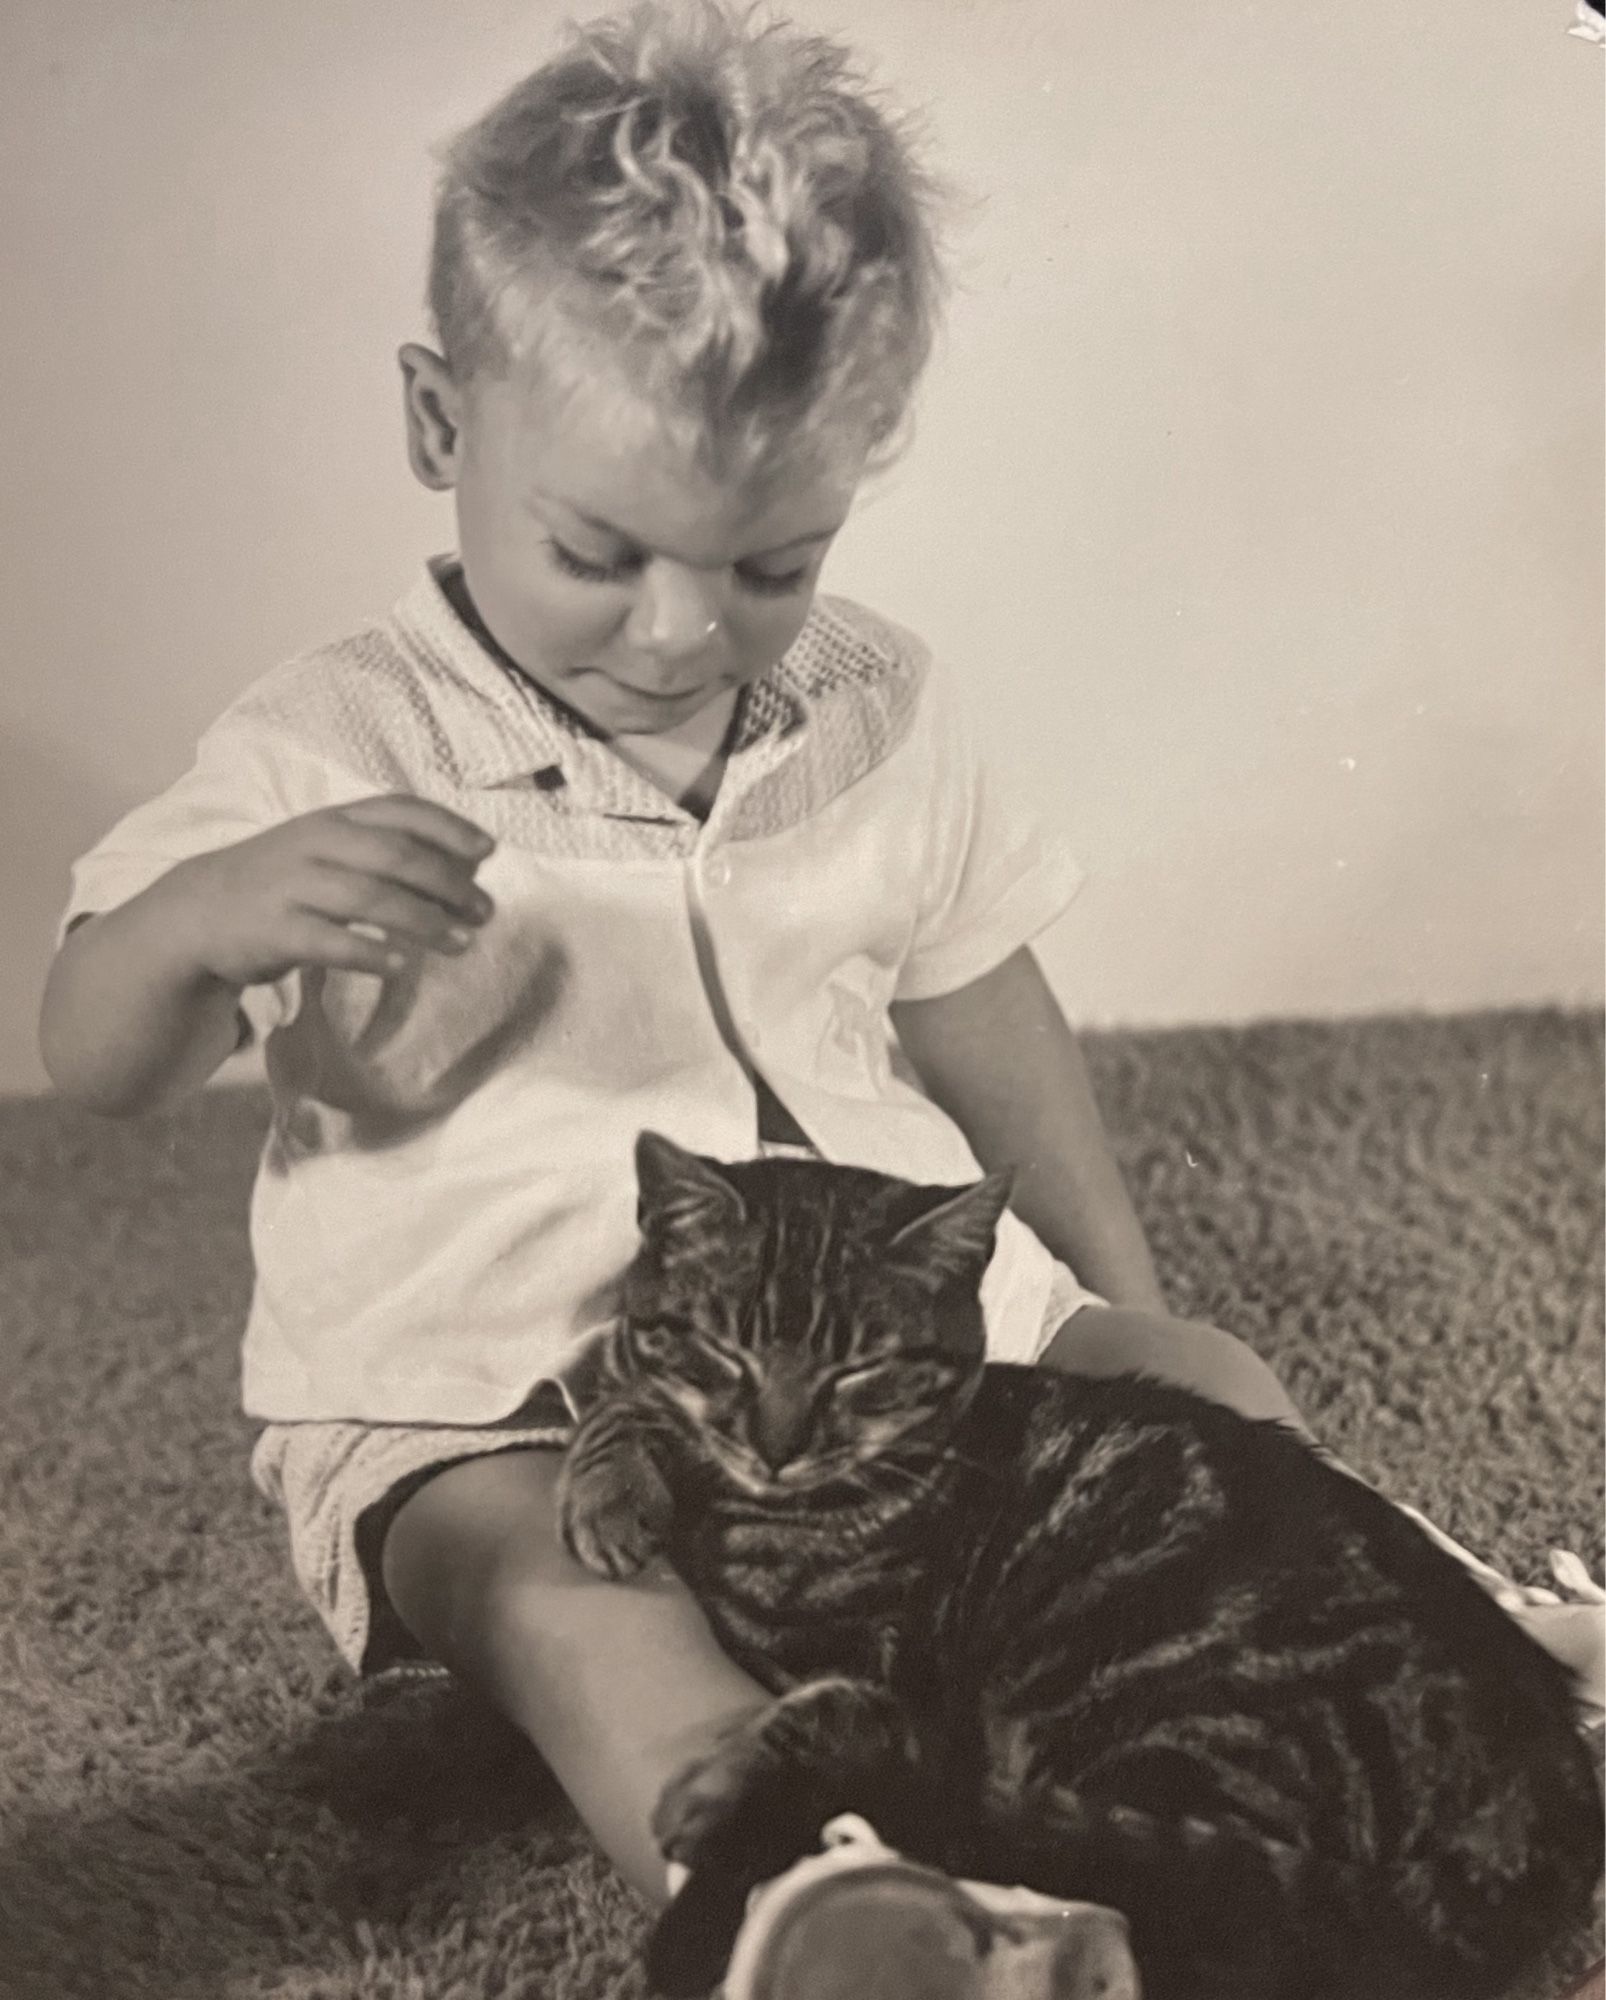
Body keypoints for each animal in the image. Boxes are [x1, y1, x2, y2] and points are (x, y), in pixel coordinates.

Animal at [560, 1136, 1600, 2000]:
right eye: (722, 1349)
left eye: (860, 1370)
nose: (775, 1447)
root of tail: (1551, 1794)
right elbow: (620, 1384)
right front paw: (610, 1484)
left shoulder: (866, 1662)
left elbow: (821, 1712)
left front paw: (717, 1829)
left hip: (1169, 1717)